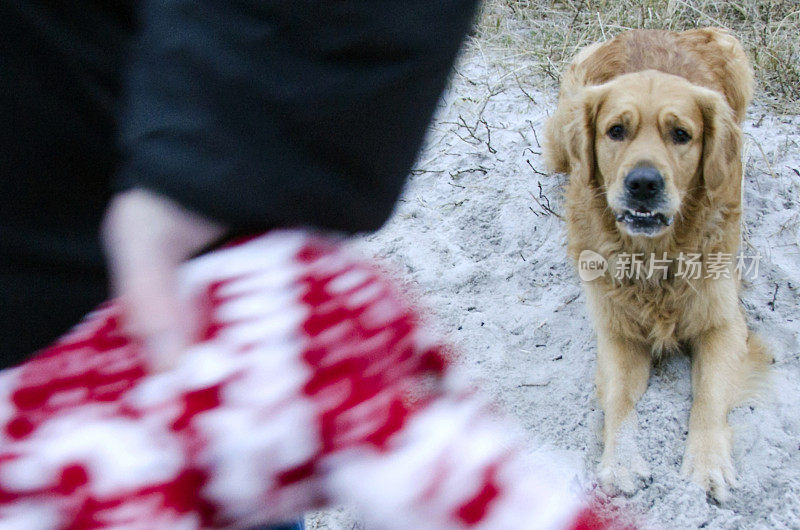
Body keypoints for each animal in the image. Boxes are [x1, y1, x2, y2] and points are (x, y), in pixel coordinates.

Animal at [544, 28, 768, 500]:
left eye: (681, 134)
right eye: (616, 131)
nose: (643, 183)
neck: (655, 256)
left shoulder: (724, 323)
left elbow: (709, 395)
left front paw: (708, 463)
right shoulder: (616, 331)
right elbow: (619, 401)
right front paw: (622, 463)